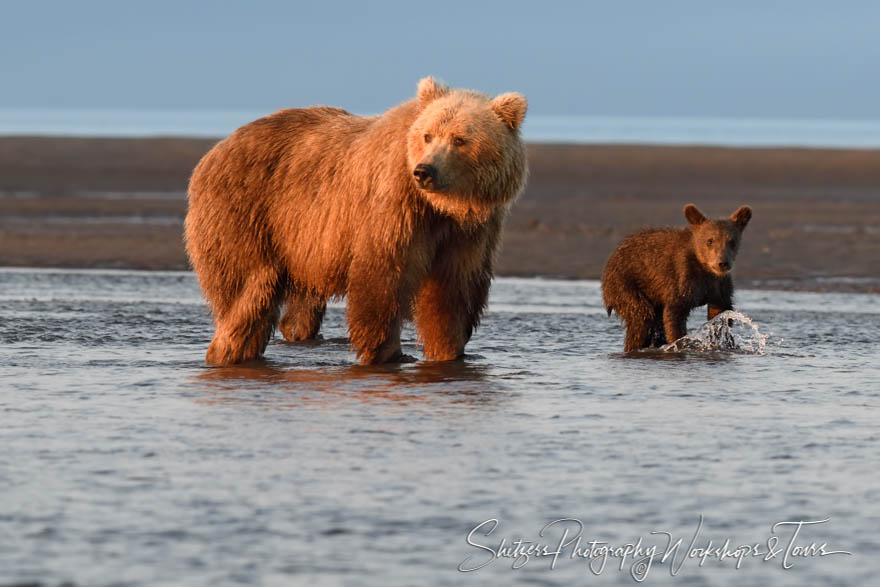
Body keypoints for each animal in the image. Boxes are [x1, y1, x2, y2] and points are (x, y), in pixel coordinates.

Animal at [185, 76, 524, 366]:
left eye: (460, 139)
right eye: (427, 135)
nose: (424, 171)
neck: (443, 207)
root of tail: (214, 151)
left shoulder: (468, 232)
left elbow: (453, 291)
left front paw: (448, 350)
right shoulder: (395, 208)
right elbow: (382, 276)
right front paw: (385, 352)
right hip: (247, 215)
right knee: (248, 292)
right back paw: (226, 352)